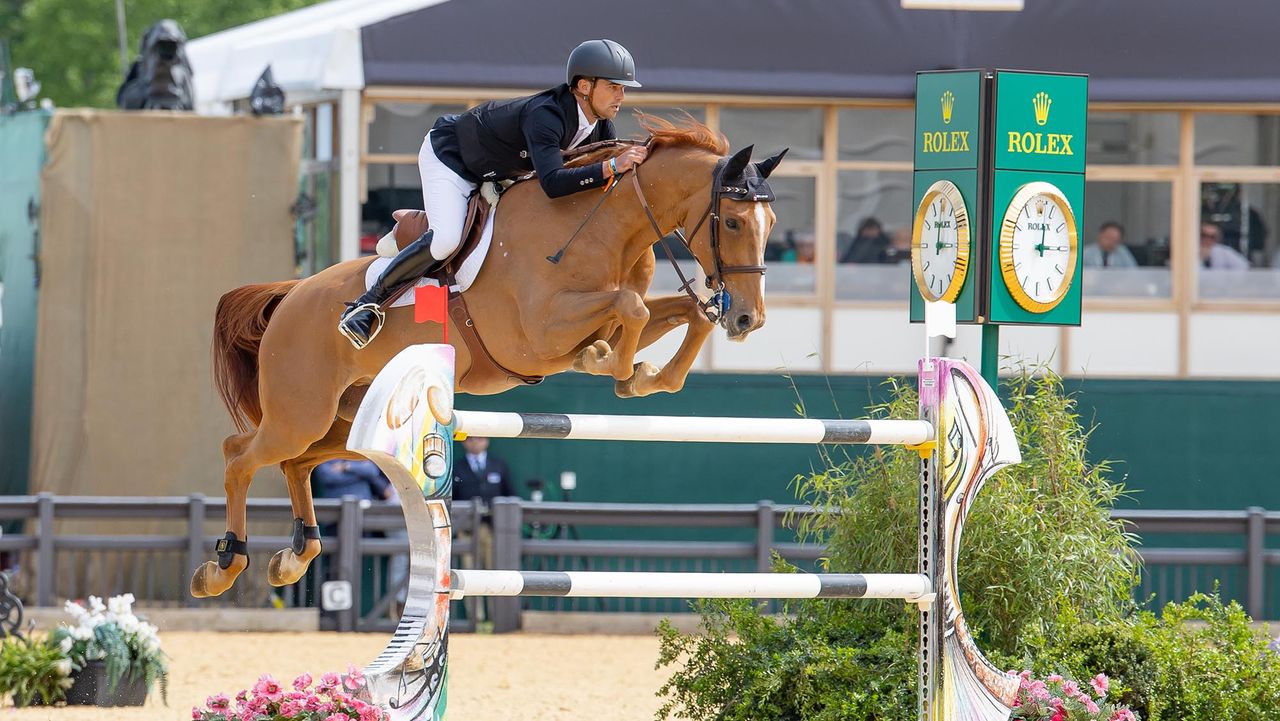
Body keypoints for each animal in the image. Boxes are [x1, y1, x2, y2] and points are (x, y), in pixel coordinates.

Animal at [192, 117, 786, 598]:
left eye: (771, 226)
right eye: (733, 222)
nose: (749, 319)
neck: (603, 226)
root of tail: (291, 294)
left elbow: (680, 313)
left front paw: (643, 374)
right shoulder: (540, 332)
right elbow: (632, 308)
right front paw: (611, 364)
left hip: (346, 419)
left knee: (294, 463)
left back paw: (295, 557)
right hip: (301, 412)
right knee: (239, 455)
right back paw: (224, 565)